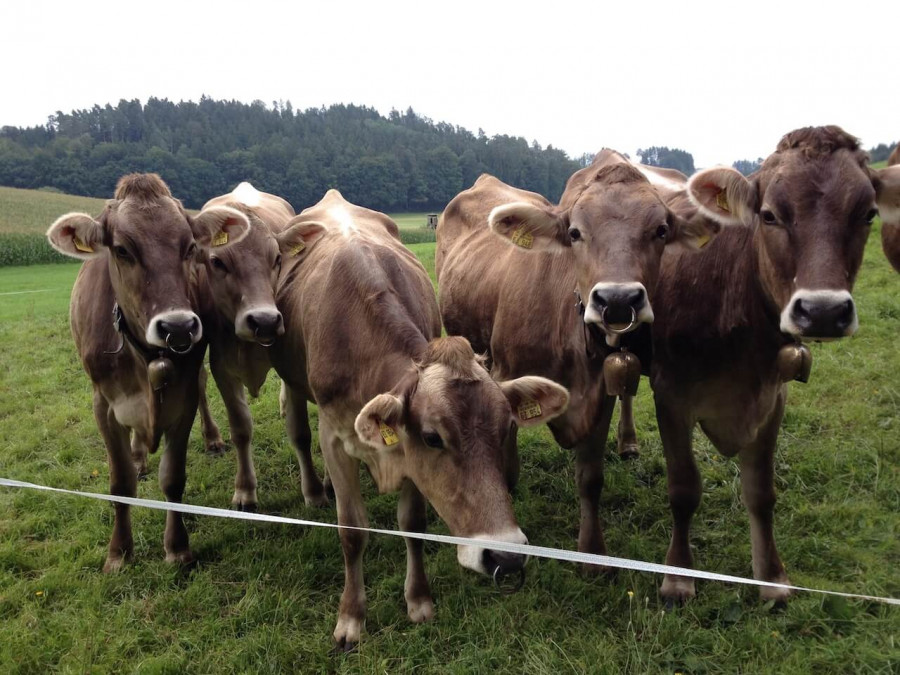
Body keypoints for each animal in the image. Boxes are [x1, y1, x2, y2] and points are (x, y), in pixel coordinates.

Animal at [46, 173, 250, 572]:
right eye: (122, 249)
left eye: (189, 247)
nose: (178, 326)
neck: (146, 355)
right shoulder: (103, 405)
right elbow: (120, 483)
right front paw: (119, 552)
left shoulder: (182, 397)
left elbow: (172, 477)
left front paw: (177, 547)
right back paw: (139, 455)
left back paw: (212, 439)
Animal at [193, 182, 326, 510]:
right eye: (217, 261)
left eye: (277, 258)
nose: (264, 321)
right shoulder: (222, 369)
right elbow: (241, 430)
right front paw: (244, 490)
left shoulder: (289, 363)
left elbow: (300, 432)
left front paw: (314, 490)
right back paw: (212, 438)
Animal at [264, 190, 568, 648]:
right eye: (433, 437)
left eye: (506, 430)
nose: (507, 555)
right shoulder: (336, 437)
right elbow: (352, 531)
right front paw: (351, 618)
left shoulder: (407, 458)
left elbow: (413, 524)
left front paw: (419, 600)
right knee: (298, 430)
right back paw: (315, 491)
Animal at [432, 154, 720, 564]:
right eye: (574, 233)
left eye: (661, 230)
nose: (618, 299)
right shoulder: (506, 374)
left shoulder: (599, 392)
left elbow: (590, 477)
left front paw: (593, 553)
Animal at [644, 127, 900, 608]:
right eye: (769, 215)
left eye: (868, 214)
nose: (823, 311)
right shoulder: (669, 394)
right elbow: (683, 489)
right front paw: (678, 577)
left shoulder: (772, 396)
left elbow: (761, 493)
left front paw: (772, 579)